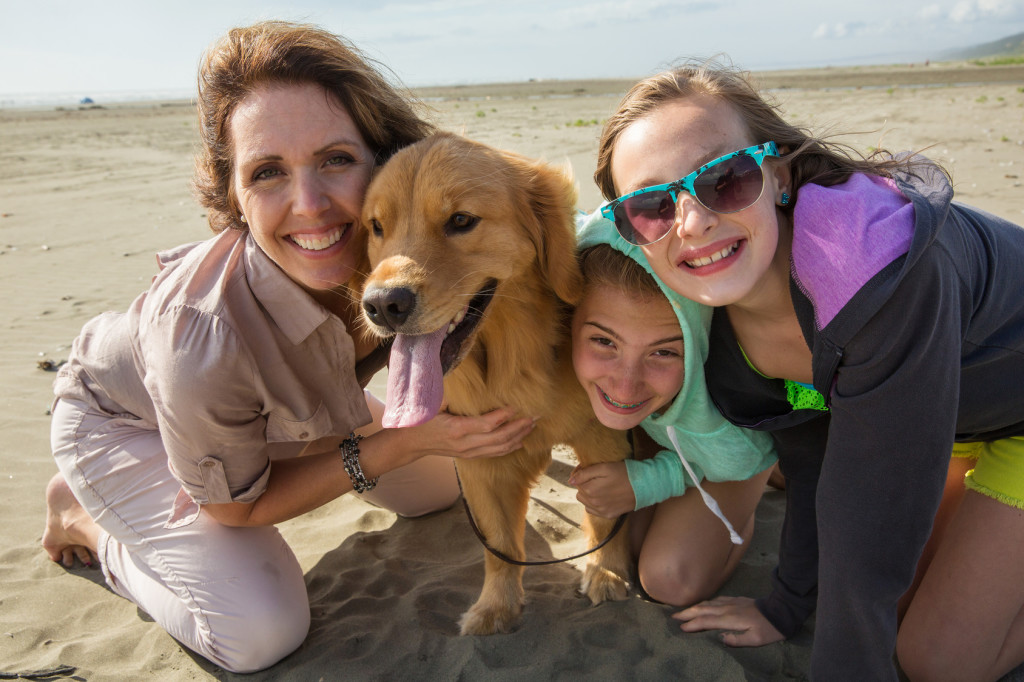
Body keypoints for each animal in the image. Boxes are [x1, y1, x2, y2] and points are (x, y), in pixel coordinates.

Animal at [360, 133, 630, 630]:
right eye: (376, 226)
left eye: (461, 220)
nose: (383, 305)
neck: (513, 362)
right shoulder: (479, 459)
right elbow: (499, 543)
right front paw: (496, 606)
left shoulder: (606, 435)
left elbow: (607, 517)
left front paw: (606, 572)